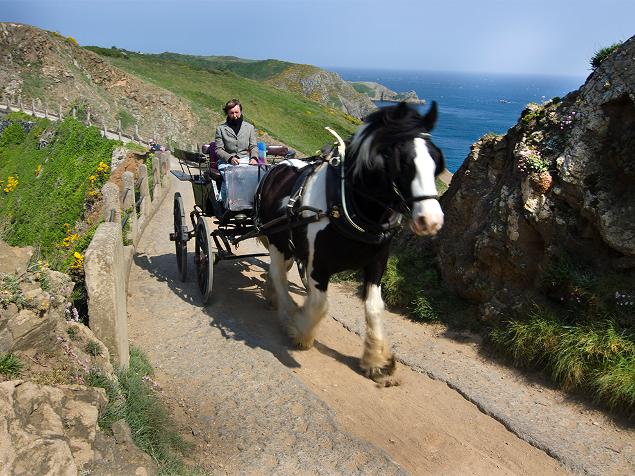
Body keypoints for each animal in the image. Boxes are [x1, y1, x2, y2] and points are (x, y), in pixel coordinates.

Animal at [253, 102, 442, 384]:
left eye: (437, 162)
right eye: (404, 163)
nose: (431, 220)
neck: (346, 203)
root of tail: (278, 166)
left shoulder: (376, 263)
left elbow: (374, 307)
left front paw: (377, 361)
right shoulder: (318, 266)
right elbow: (320, 304)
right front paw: (300, 330)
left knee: (281, 272)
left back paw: (271, 295)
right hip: (276, 239)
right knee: (278, 274)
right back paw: (287, 313)